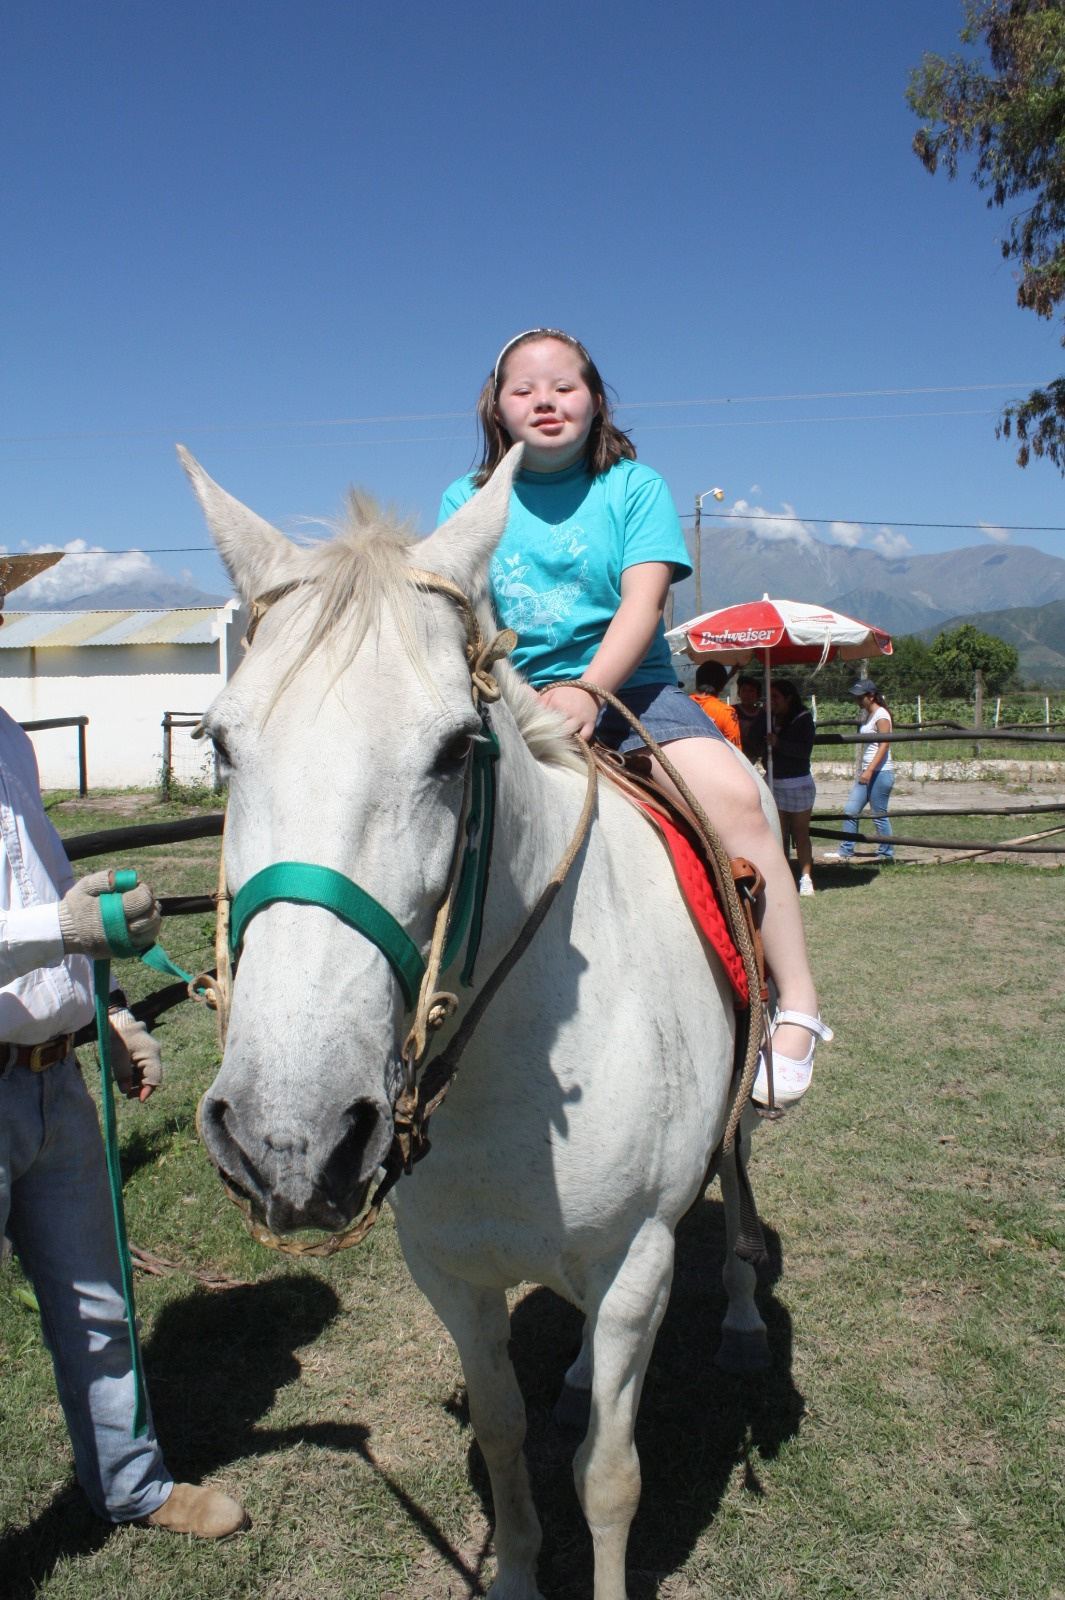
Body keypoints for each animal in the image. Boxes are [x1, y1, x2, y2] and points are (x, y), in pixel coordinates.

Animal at [180, 443, 775, 1600]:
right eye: (222, 745)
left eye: (457, 750)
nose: (286, 1138)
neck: (513, 1072)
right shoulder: (450, 1277)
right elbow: (503, 1432)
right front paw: (513, 1572)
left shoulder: (637, 1265)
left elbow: (609, 1479)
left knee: (733, 1181)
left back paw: (738, 1318)